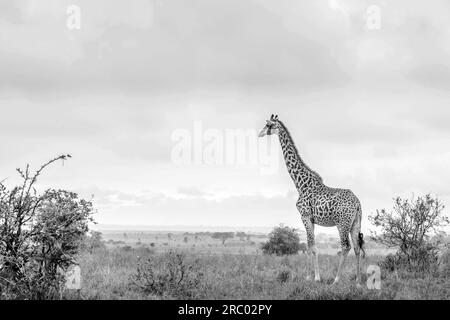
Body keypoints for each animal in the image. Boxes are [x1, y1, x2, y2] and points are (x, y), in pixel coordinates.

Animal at [258, 114, 364, 284]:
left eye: (269, 125)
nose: (260, 133)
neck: (300, 183)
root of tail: (358, 203)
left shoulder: (305, 216)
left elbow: (311, 246)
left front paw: (314, 277)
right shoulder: (312, 219)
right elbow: (310, 246)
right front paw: (311, 276)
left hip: (342, 223)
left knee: (345, 246)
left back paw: (336, 280)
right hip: (355, 223)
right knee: (356, 247)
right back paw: (358, 282)